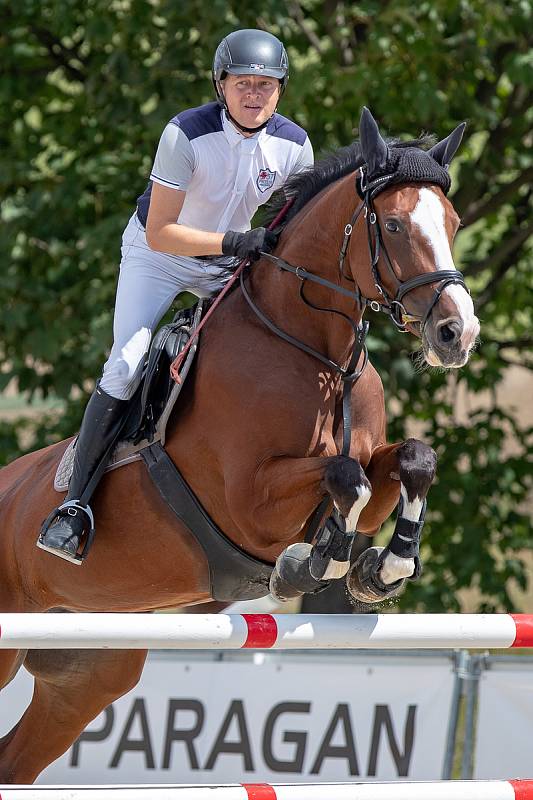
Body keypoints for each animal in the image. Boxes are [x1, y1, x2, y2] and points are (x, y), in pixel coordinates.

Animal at [0, 108, 478, 780]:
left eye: (453, 223)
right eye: (391, 223)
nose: (457, 332)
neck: (314, 353)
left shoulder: (364, 469)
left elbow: (409, 461)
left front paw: (382, 568)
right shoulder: (248, 503)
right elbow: (343, 476)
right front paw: (316, 562)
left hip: (88, 666)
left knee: (17, 758)